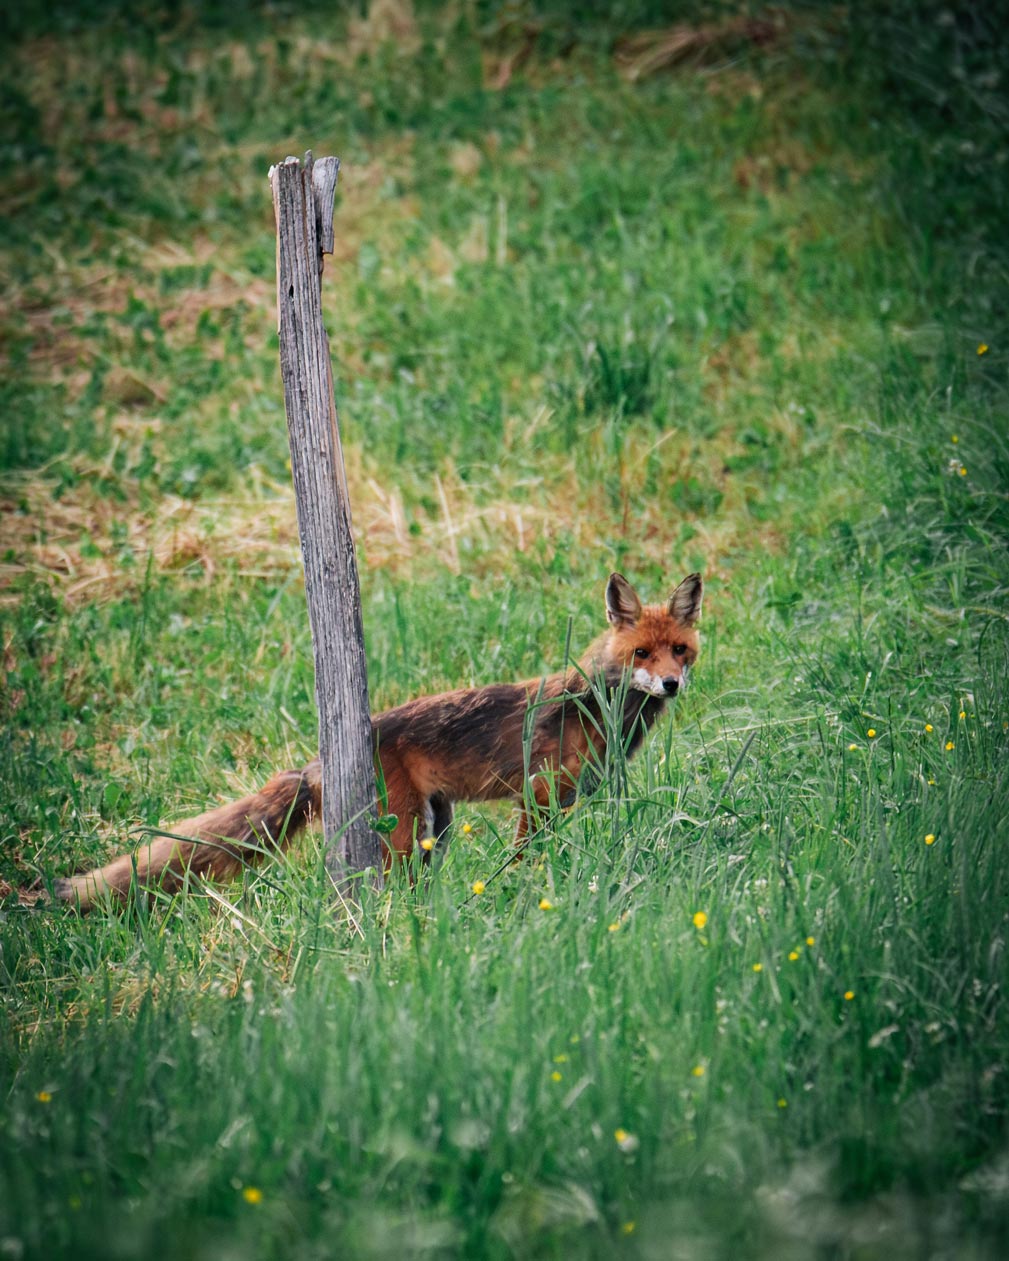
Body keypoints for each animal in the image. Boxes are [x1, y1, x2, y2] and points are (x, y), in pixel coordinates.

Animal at [49, 572, 702, 911]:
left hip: (434, 827)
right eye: (641, 654)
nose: (671, 683)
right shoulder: (538, 796)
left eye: (680, 650)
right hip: (407, 830)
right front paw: (524, 892)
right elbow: (526, 858)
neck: (599, 705)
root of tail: (323, 757)